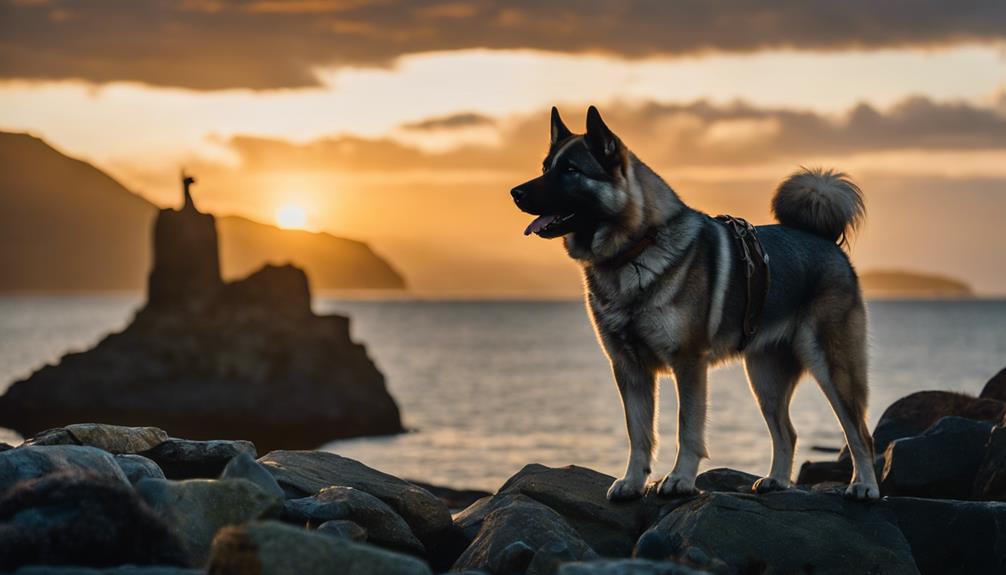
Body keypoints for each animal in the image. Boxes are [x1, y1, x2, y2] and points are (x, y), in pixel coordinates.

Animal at [511, 105, 881, 500]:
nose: (515, 192)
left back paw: (864, 486)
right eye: (545, 167)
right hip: (765, 375)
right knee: (787, 432)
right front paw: (633, 482)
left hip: (833, 366)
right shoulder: (628, 367)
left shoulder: (688, 362)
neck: (635, 249)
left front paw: (679, 479)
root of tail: (825, 241)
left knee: (860, 435)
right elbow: (639, 434)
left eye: (570, 170)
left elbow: (686, 428)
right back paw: (777, 480)